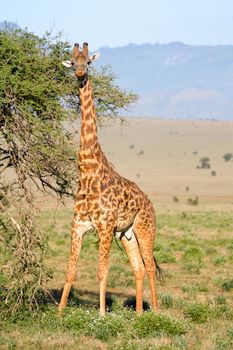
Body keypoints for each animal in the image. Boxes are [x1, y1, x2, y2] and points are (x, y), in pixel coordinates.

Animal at [59, 42, 159, 316]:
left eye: (88, 62)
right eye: (72, 62)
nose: (80, 74)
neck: (88, 170)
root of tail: (149, 203)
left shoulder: (104, 227)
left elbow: (101, 272)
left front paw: (103, 315)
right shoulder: (78, 226)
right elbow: (70, 272)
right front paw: (59, 313)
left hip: (145, 229)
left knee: (150, 267)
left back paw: (157, 313)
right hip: (126, 234)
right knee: (138, 268)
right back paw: (138, 314)